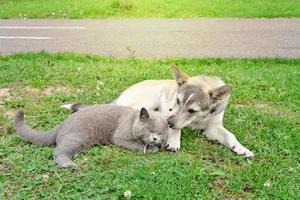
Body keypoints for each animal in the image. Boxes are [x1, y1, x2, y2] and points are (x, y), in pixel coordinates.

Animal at [13, 105, 169, 170]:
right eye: (149, 130)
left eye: (161, 133)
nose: (155, 138)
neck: (132, 120)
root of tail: (62, 124)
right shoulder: (120, 138)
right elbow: (137, 144)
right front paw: (151, 148)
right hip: (76, 139)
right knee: (58, 151)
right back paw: (70, 165)